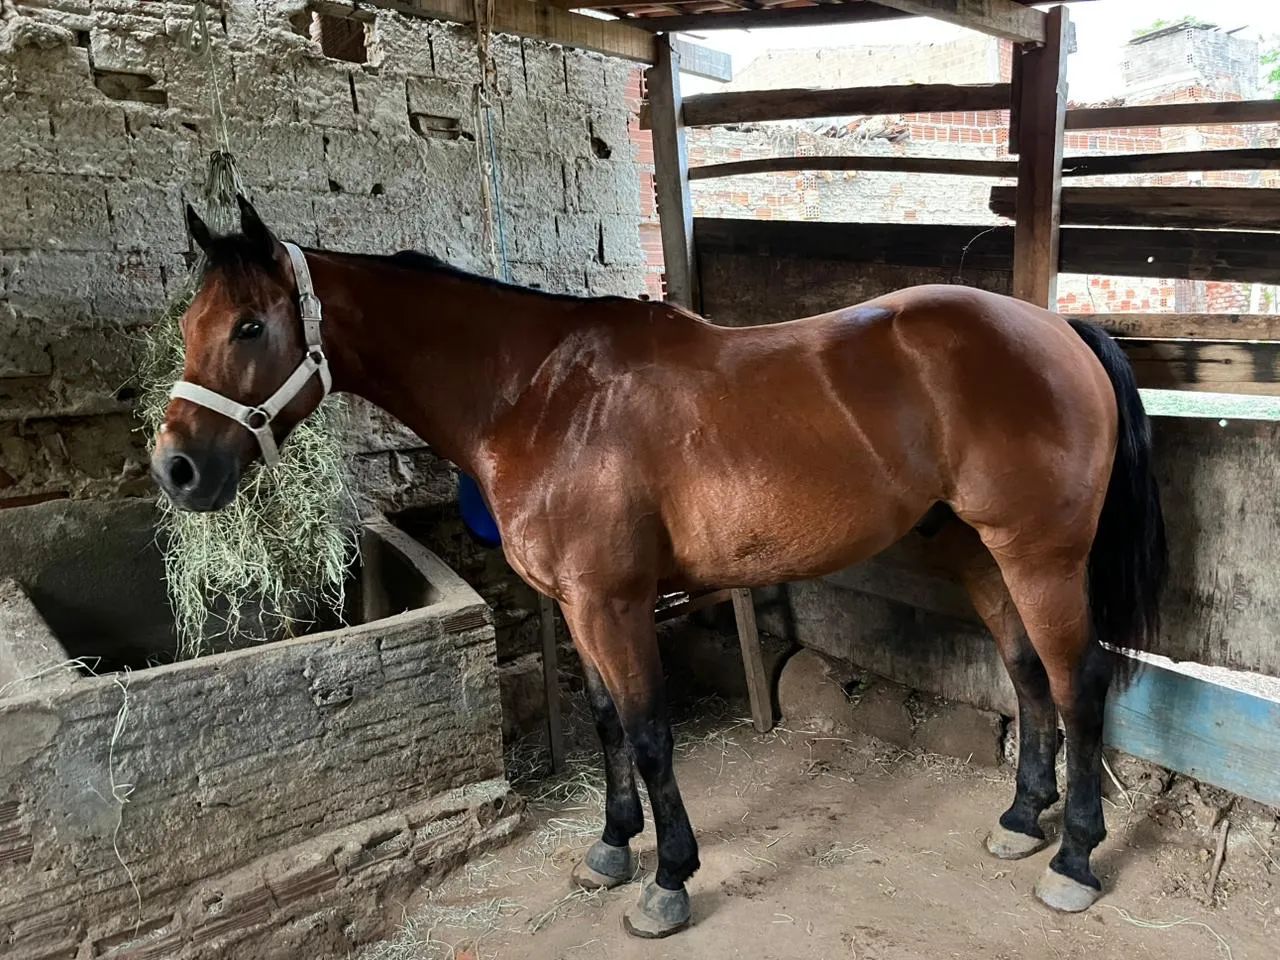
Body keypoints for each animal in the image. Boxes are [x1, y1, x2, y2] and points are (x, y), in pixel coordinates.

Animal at [153, 197, 1165, 937]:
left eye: (250, 326)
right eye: (192, 324)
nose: (177, 469)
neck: (538, 393)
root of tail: (1060, 329)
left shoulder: (612, 603)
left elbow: (647, 733)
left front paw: (669, 881)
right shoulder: (576, 606)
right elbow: (607, 723)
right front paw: (610, 848)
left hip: (1041, 556)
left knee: (1077, 685)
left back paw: (1075, 859)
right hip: (981, 552)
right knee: (1027, 675)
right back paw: (1021, 821)